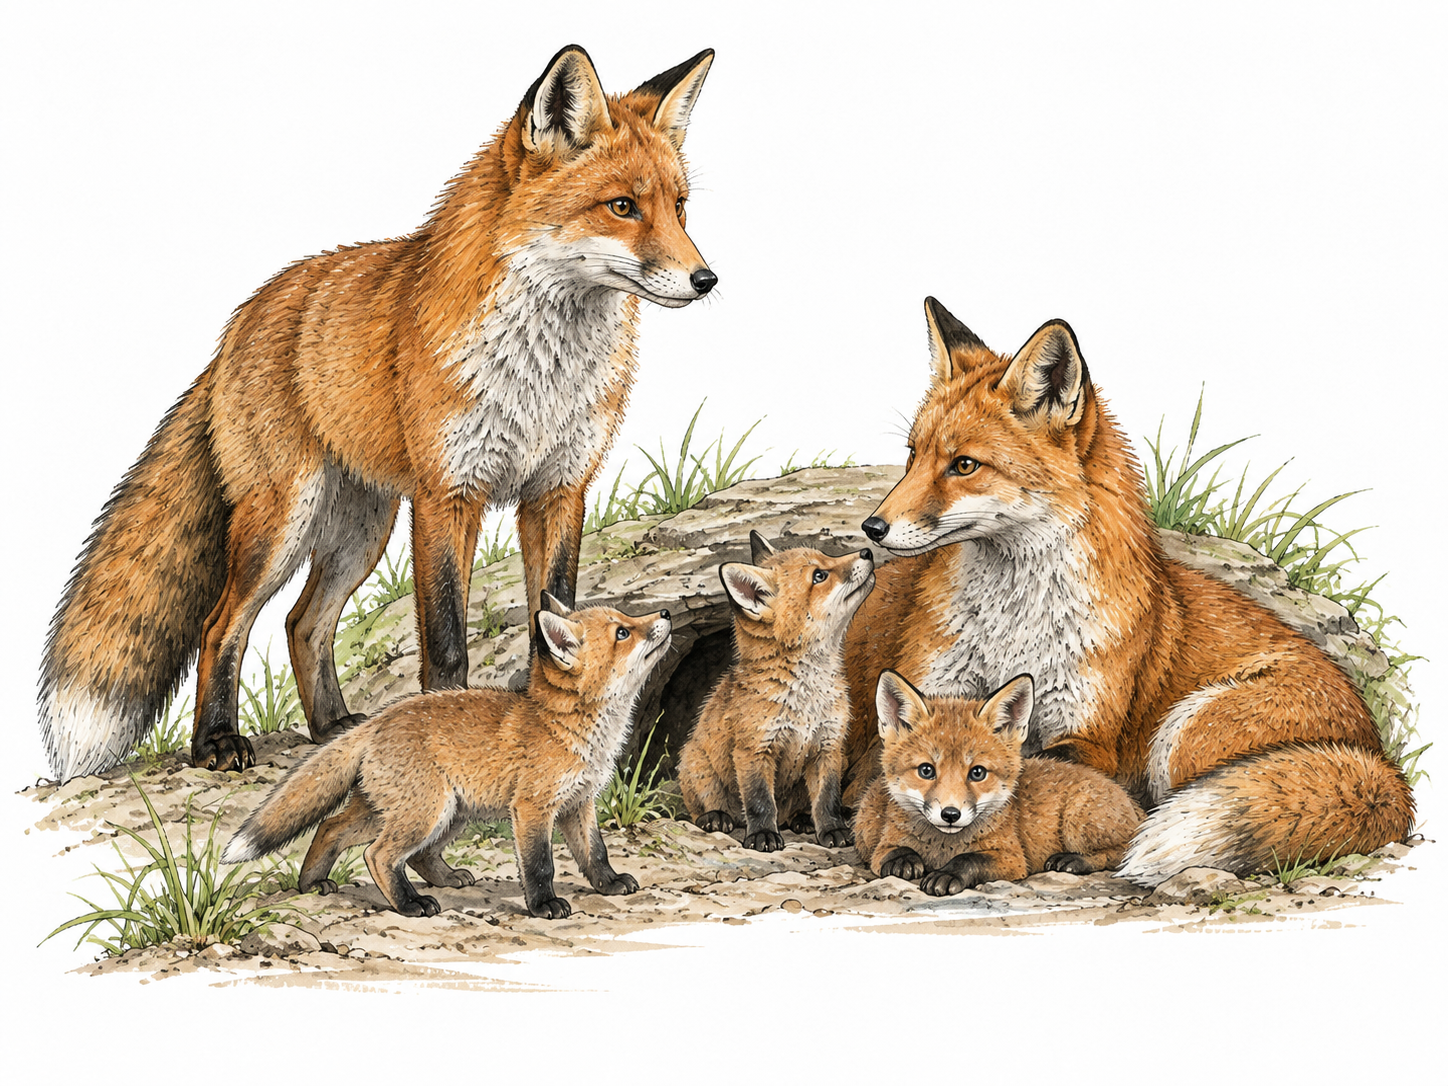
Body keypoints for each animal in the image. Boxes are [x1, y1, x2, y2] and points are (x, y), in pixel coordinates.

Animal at [39, 45, 716, 781]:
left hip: (362, 528)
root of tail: (241, 321)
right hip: (284, 522)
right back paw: (217, 741)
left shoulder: (558, 491)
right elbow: (446, 641)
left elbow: (556, 619)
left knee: (302, 623)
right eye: (622, 207)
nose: (707, 280)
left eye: (681, 208)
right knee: (224, 624)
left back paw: (333, 727)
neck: (543, 376)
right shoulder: (449, 495)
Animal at [222, 595, 670, 918]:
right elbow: (540, 864)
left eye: (626, 620)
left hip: (435, 814)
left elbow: (595, 852)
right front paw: (544, 905)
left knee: (336, 830)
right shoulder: (532, 808)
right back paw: (409, 904)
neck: (571, 730)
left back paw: (316, 884)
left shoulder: (580, 803)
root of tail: (379, 718)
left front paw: (608, 884)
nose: (666, 611)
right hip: (425, 812)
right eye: (623, 632)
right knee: (377, 855)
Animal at [677, 532, 875, 852]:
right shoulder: (754, 750)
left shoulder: (828, 747)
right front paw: (762, 835)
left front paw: (832, 830)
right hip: (696, 765)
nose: (868, 551)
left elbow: (828, 799)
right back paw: (716, 817)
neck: (807, 697)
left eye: (827, 556)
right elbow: (759, 801)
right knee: (708, 808)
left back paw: (802, 820)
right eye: (819, 575)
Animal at [854, 671, 1144, 893]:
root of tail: (1128, 797)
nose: (950, 814)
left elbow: (969, 859)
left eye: (977, 773)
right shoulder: (880, 847)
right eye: (926, 770)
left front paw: (947, 875)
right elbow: (892, 851)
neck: (943, 847)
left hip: (1078, 821)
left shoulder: (1013, 859)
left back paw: (1073, 860)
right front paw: (904, 860)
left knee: (1122, 852)